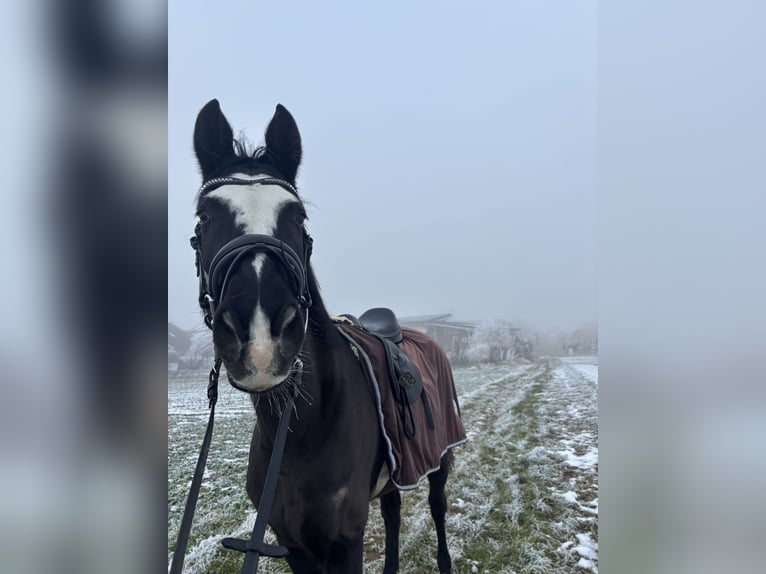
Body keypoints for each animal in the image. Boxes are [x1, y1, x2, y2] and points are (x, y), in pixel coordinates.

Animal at [190, 101, 460, 572]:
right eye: (204, 217)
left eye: (298, 217)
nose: (260, 339)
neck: (303, 432)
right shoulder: (290, 543)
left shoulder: (345, 541)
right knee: (393, 512)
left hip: (439, 460)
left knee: (438, 506)